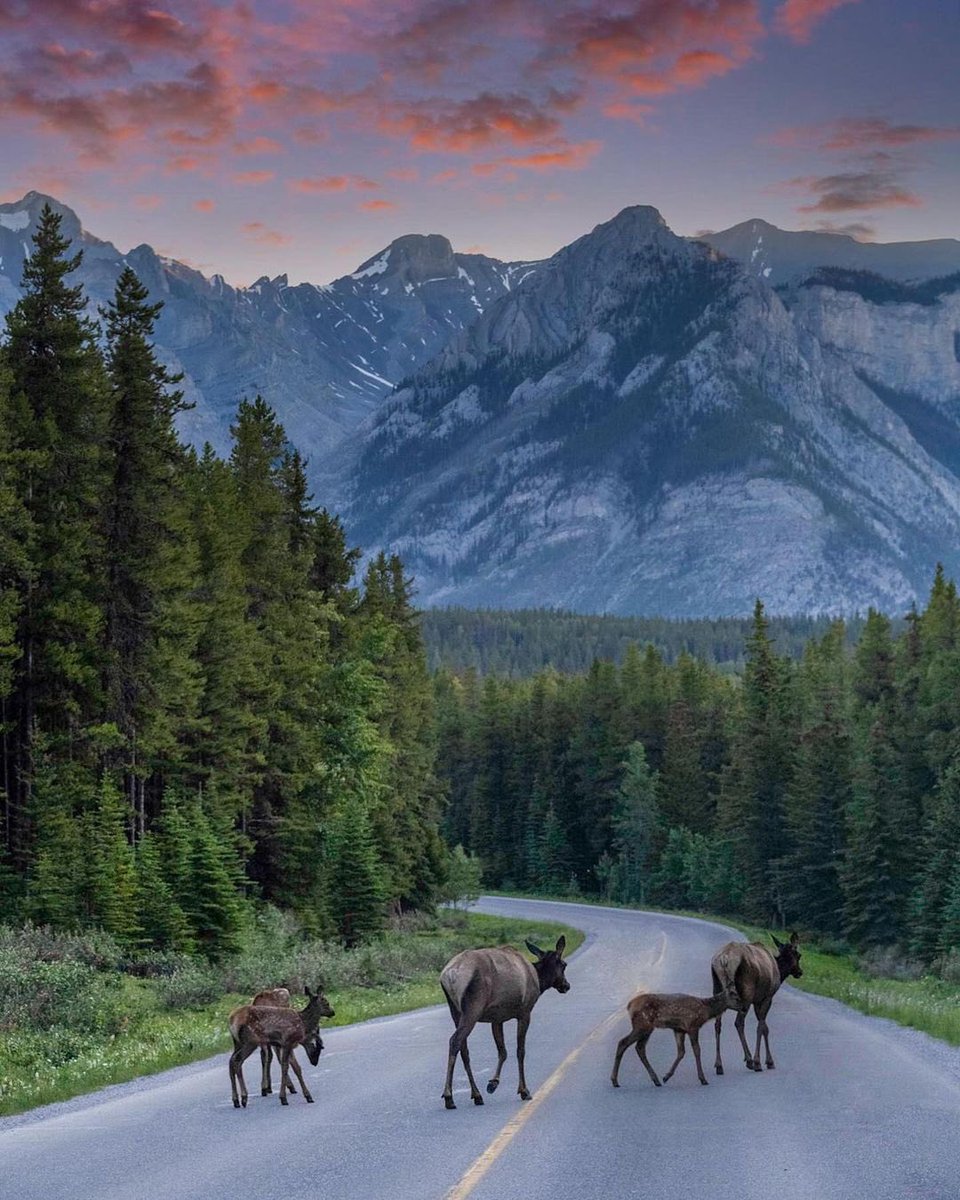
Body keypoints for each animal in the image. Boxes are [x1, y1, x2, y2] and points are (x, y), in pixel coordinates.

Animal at [441, 931, 571, 1108]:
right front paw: (524, 1090)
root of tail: (450, 975)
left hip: (455, 1011)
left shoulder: (497, 1018)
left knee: (464, 1049)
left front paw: (493, 1083)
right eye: (563, 964)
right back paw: (449, 1097)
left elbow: (502, 1052)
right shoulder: (525, 1012)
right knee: (455, 1041)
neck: (539, 981)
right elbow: (520, 1051)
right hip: (473, 1008)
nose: (566, 985)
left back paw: (476, 1094)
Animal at [710, 931, 801, 1075]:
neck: (779, 972)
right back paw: (750, 1060)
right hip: (746, 995)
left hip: (717, 989)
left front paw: (767, 1061)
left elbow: (764, 1027)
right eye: (798, 955)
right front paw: (765, 1061)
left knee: (717, 1024)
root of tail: (725, 958)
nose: (799, 972)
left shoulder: (758, 1001)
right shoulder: (767, 997)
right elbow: (762, 1027)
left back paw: (719, 1065)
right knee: (739, 1023)